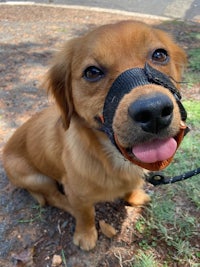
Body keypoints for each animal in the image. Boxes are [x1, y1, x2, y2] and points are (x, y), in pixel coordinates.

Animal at [2, 20, 188, 251]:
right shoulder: (77, 193)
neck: (112, 158)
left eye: (160, 55)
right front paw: (86, 234)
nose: (153, 111)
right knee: (53, 197)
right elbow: (85, 213)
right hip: (36, 178)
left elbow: (131, 187)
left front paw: (134, 196)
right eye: (92, 72)